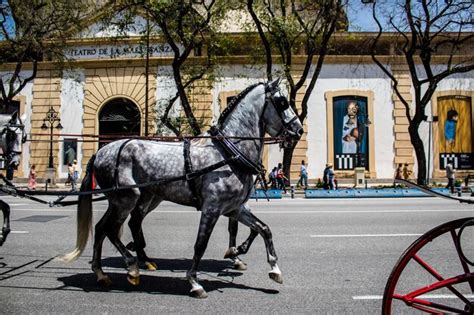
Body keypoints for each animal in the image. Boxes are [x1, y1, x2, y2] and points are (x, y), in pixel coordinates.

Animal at [61, 79, 304, 298]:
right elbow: (200, 244)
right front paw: (195, 281)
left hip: (134, 200)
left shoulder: (235, 208)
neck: (228, 153)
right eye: (282, 102)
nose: (299, 130)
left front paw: (273, 268)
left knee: (106, 227)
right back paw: (132, 266)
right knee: (112, 229)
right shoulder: (212, 209)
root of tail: (101, 151)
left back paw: (104, 272)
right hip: (126, 199)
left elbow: (263, 229)